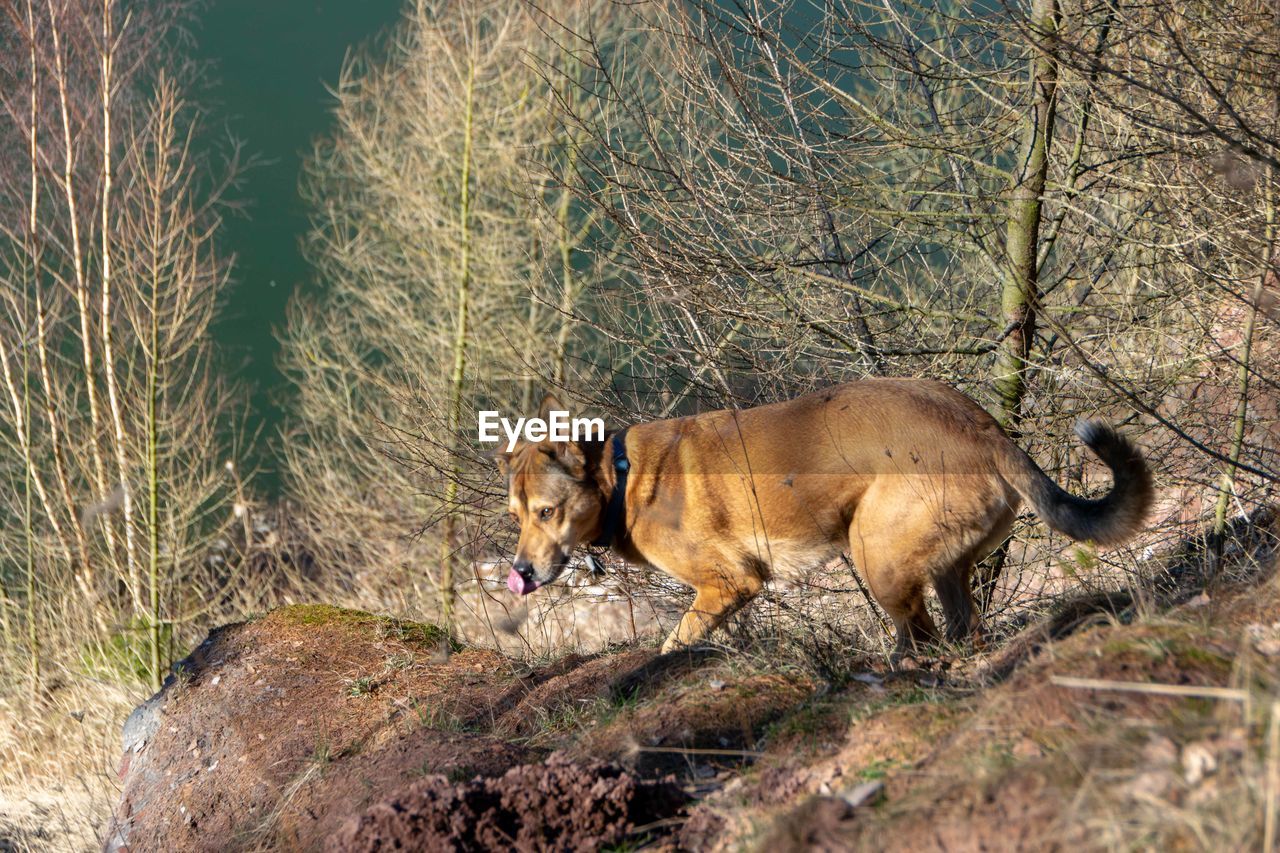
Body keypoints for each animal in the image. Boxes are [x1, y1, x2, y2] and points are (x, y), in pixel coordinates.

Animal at [491, 379, 1152, 655]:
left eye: (547, 512)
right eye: (515, 515)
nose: (519, 573)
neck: (621, 476)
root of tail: (986, 431)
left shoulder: (728, 584)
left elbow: (672, 642)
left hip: (875, 554)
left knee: (922, 636)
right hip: (938, 566)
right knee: (960, 630)